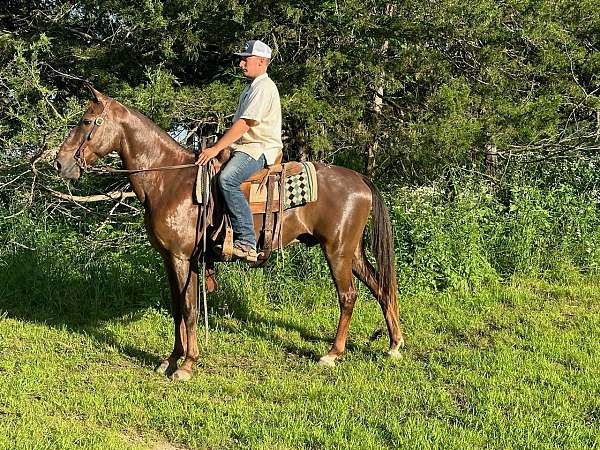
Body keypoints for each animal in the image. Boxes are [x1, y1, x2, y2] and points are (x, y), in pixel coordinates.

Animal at [55, 87, 404, 380]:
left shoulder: (182, 258)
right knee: (381, 287)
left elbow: (189, 310)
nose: (60, 162)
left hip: (337, 250)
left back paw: (333, 353)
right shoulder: (171, 259)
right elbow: (177, 308)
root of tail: (361, 179)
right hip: (352, 251)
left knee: (348, 296)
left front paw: (187, 365)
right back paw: (394, 345)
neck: (169, 182)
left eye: (86, 121)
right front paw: (171, 359)